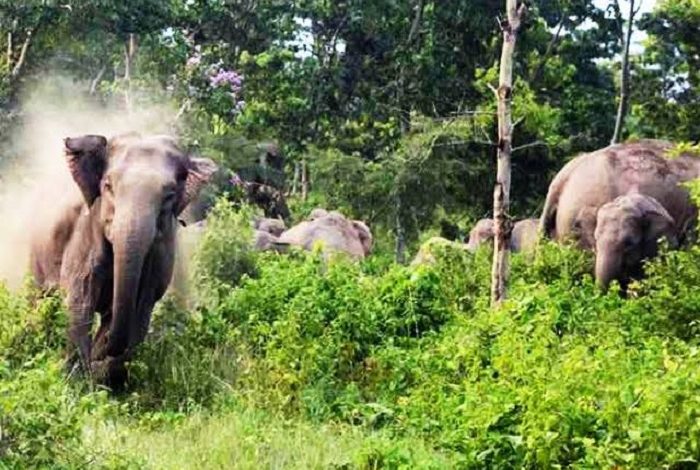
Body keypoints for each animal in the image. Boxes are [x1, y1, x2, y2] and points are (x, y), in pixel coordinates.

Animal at [30, 133, 217, 387]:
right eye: (108, 186)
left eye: (169, 196)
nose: (101, 355)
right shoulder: (85, 233)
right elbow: (81, 298)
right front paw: (78, 381)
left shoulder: (160, 254)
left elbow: (141, 307)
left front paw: (104, 375)